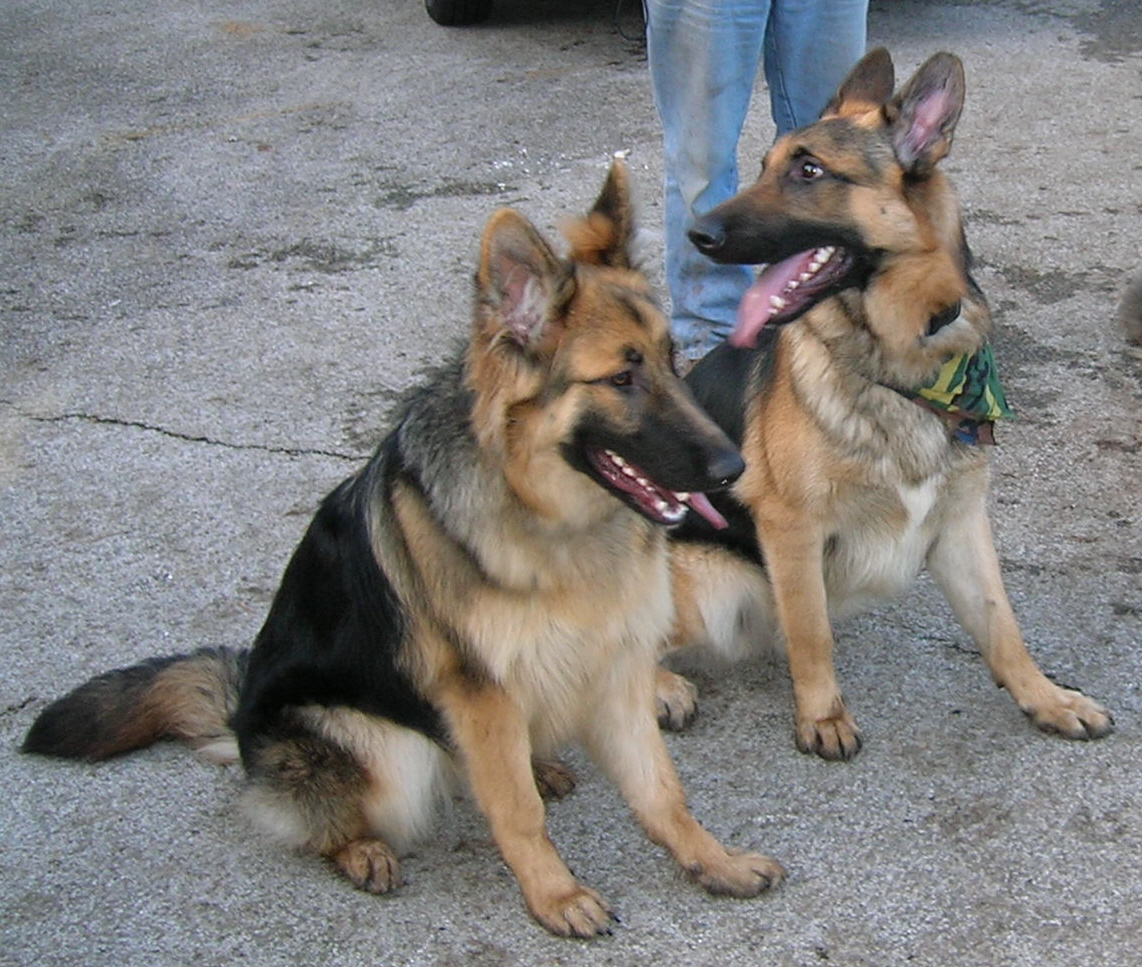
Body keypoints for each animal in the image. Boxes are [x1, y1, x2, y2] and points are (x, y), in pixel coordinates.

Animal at [24, 164, 785, 936]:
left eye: (670, 359)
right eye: (621, 379)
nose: (735, 468)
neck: (547, 519)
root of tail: (240, 721)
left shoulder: (616, 670)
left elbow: (661, 792)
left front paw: (712, 861)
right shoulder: (482, 692)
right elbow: (517, 812)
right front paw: (555, 895)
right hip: (376, 745)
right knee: (338, 813)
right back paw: (361, 847)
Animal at [666, 51, 1110, 762]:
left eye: (809, 170)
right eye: (763, 166)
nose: (695, 233)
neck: (901, 362)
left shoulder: (960, 523)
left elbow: (1001, 622)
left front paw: (1046, 697)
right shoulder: (790, 527)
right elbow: (811, 632)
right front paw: (822, 715)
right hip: (714, 584)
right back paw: (658, 691)